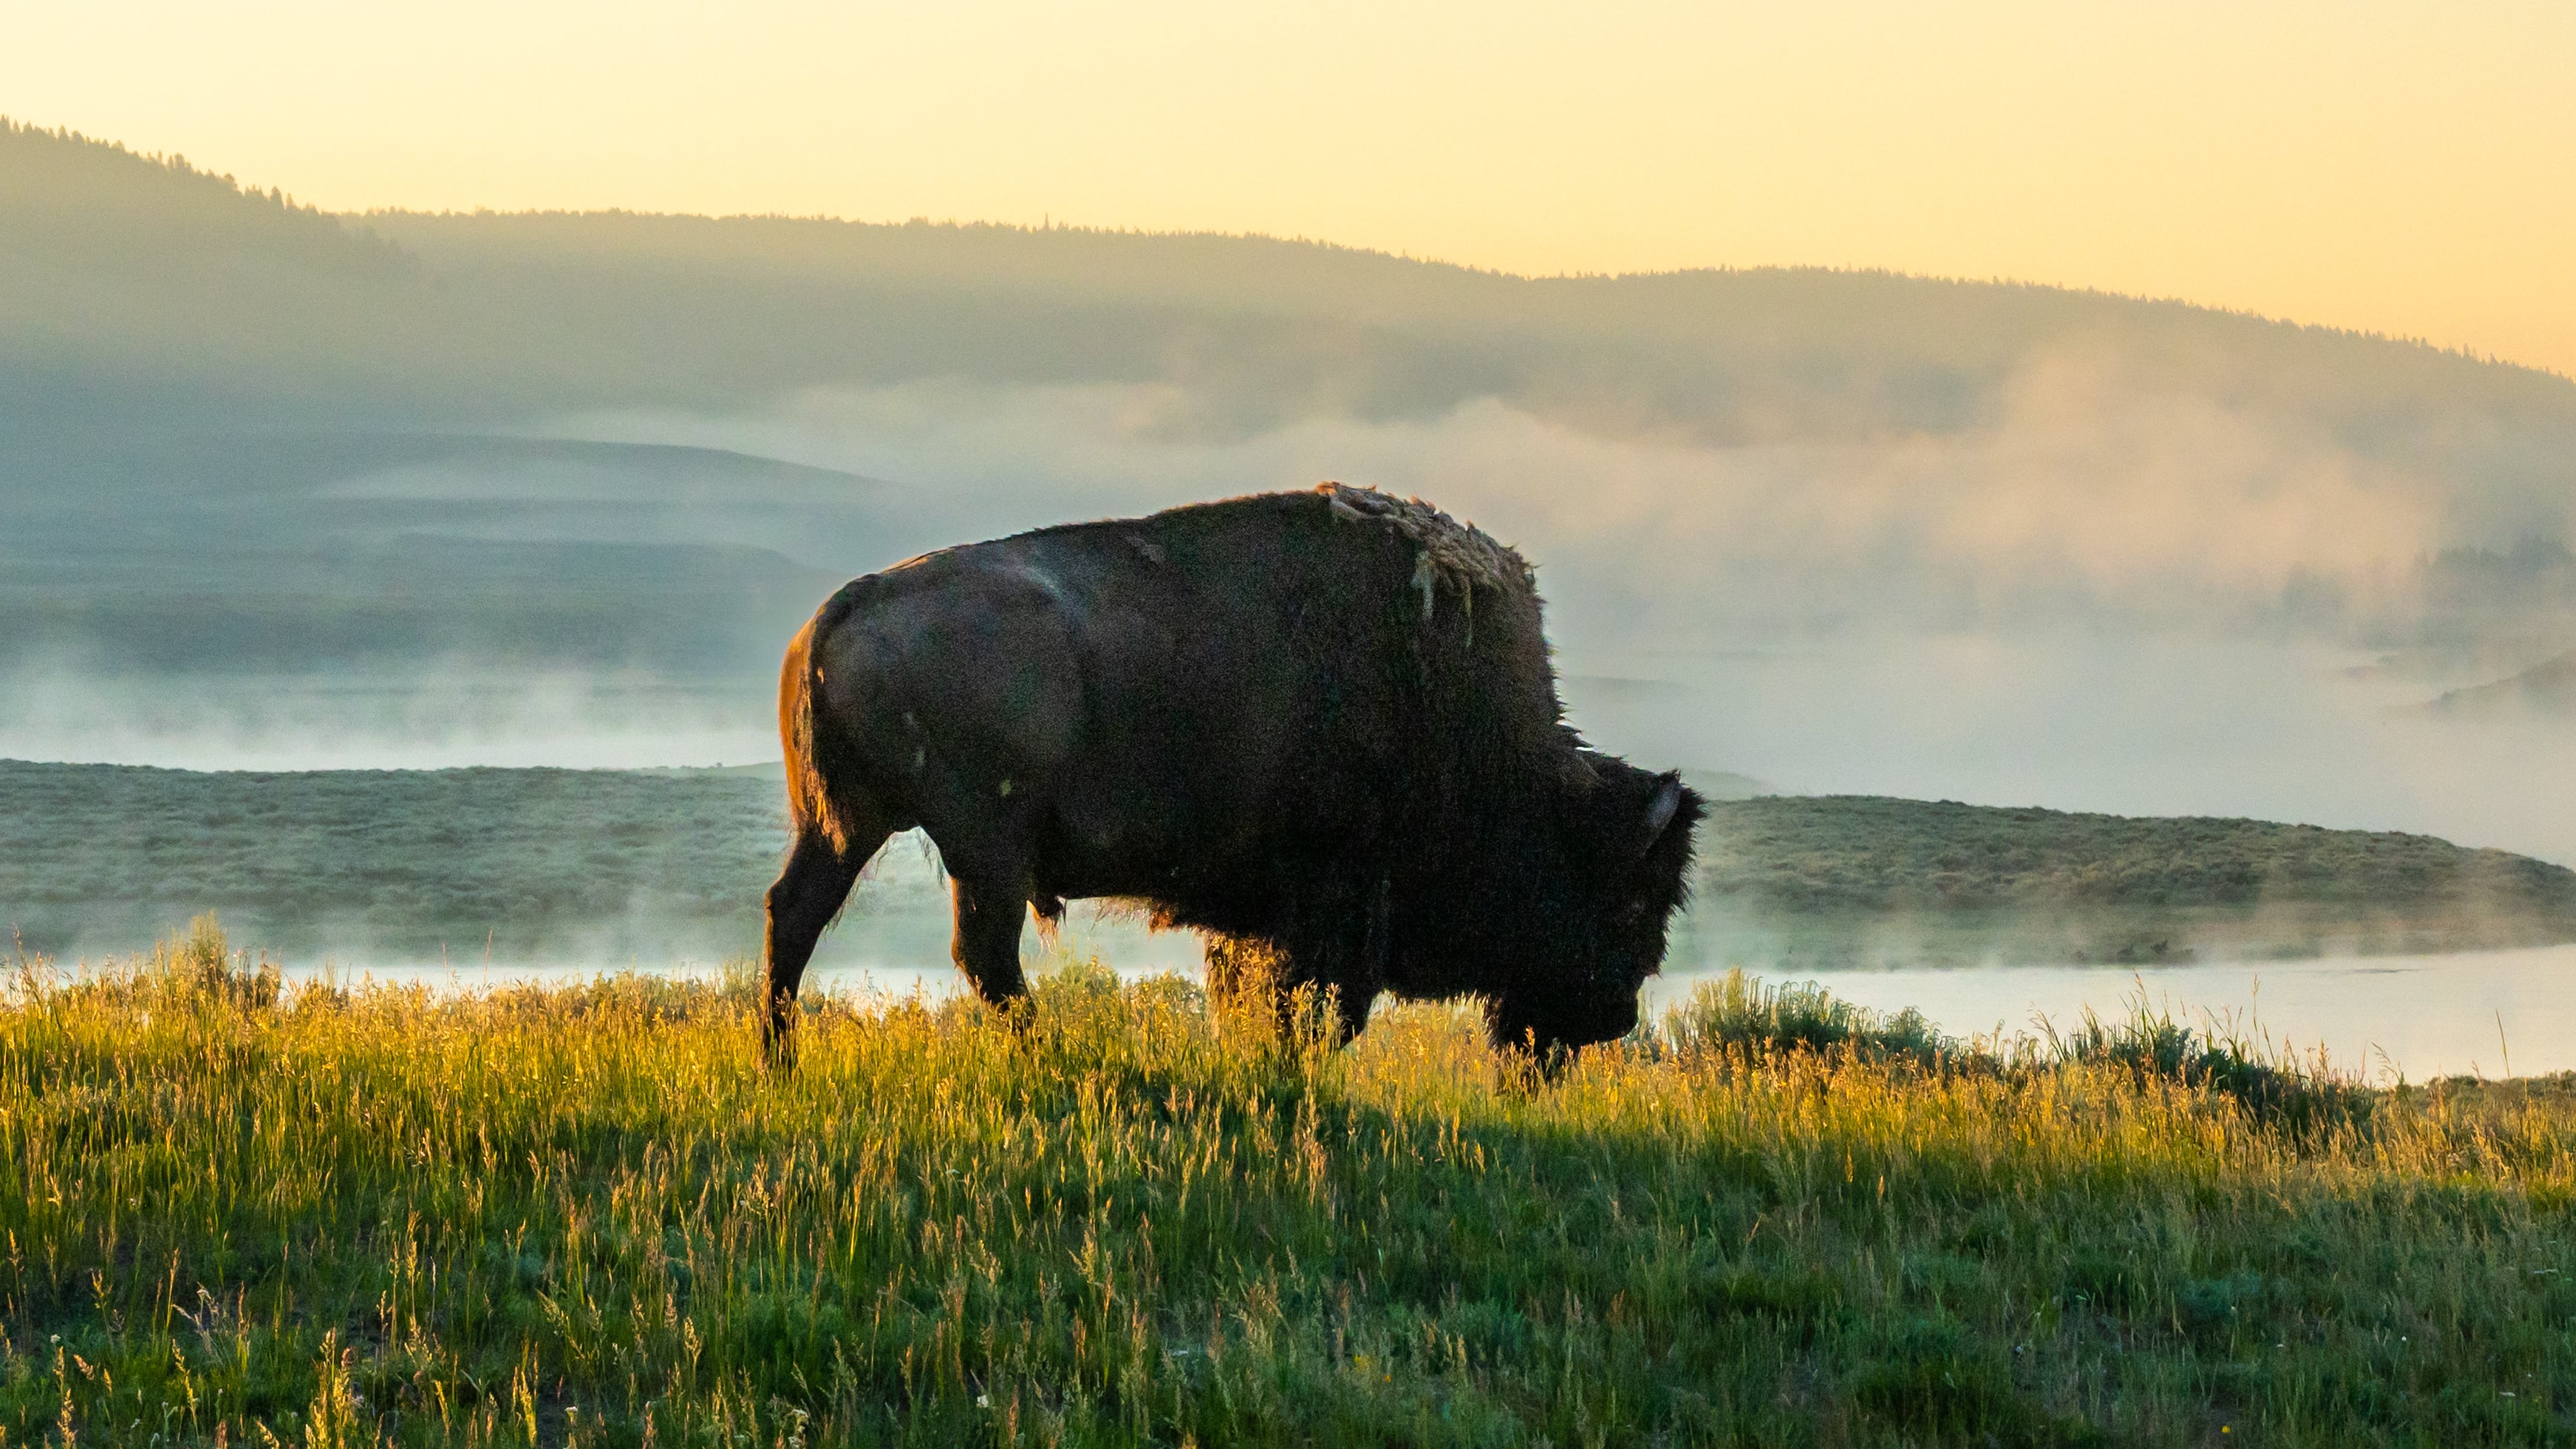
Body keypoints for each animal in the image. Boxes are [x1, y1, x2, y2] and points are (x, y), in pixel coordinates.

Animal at [762, 483, 1703, 1056]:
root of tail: (844, 605)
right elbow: (1316, 1000)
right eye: (1628, 897)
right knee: (982, 957)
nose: (1613, 1016)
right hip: (981, 848)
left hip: (850, 828)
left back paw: (781, 1061)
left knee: (796, 916)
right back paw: (1044, 1052)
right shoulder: (1338, 893)